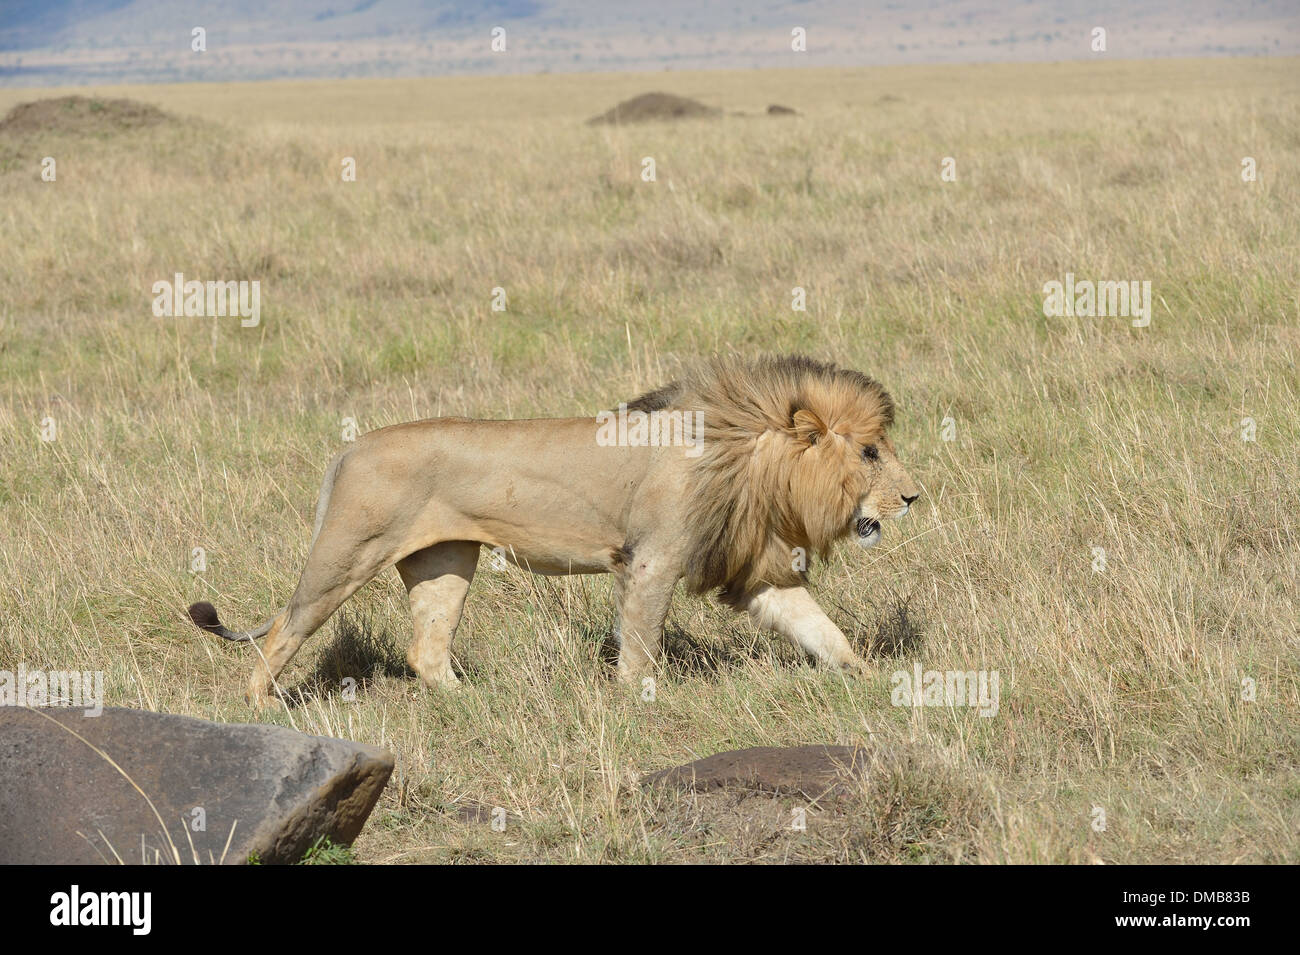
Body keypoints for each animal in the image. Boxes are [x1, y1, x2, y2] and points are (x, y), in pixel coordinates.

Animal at [187, 355, 919, 708]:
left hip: (444, 560)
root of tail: (348, 448)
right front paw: (640, 702)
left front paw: (877, 679)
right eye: (871, 451)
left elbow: (822, 628)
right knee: (284, 629)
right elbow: (641, 646)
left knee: (427, 650)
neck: (741, 450)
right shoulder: (651, 559)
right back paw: (257, 703)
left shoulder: (757, 573)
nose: (914, 496)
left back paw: (475, 700)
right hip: (346, 553)